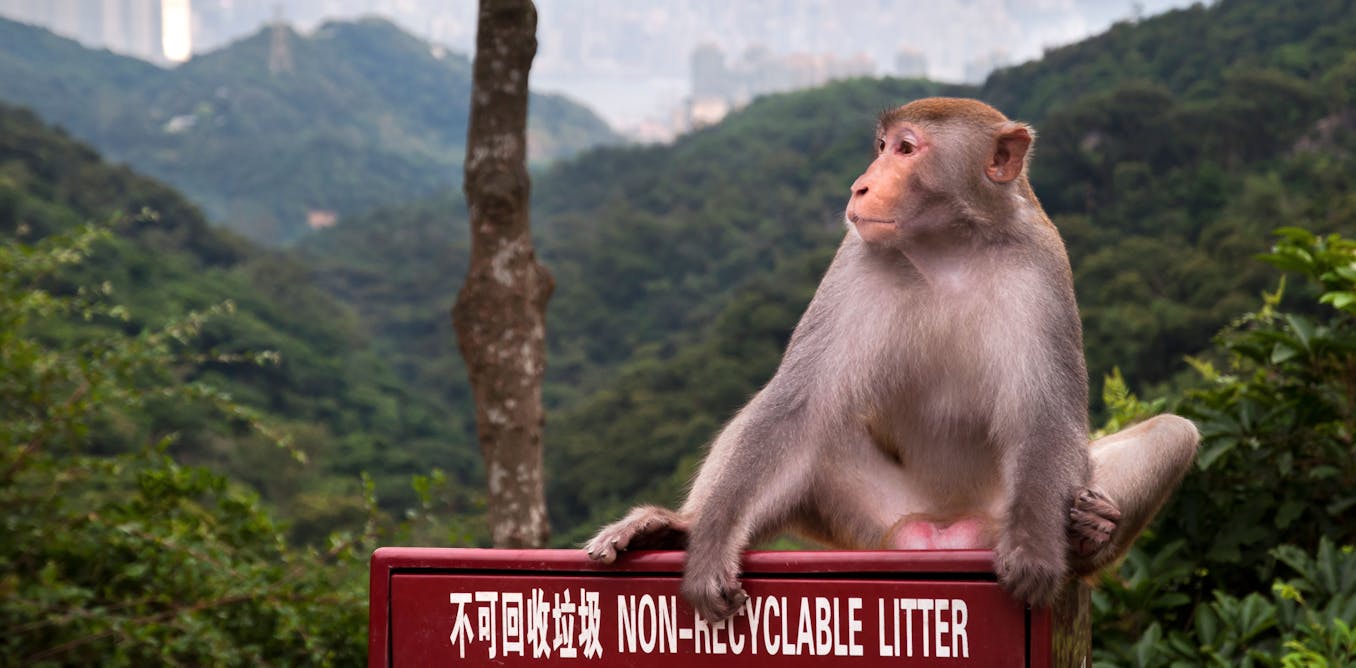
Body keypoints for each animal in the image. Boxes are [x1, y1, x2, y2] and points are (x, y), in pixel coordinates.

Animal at [585, 97, 1199, 623]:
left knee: (1176, 432)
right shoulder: (855, 260)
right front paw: (710, 549)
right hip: (870, 521)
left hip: (1000, 511)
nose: (860, 185)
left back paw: (1090, 532)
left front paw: (1037, 553)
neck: (950, 248)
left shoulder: (1044, 267)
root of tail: (946, 528)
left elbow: (1048, 418)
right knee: (805, 426)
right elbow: (796, 404)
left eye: (906, 149)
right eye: (881, 146)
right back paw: (679, 529)